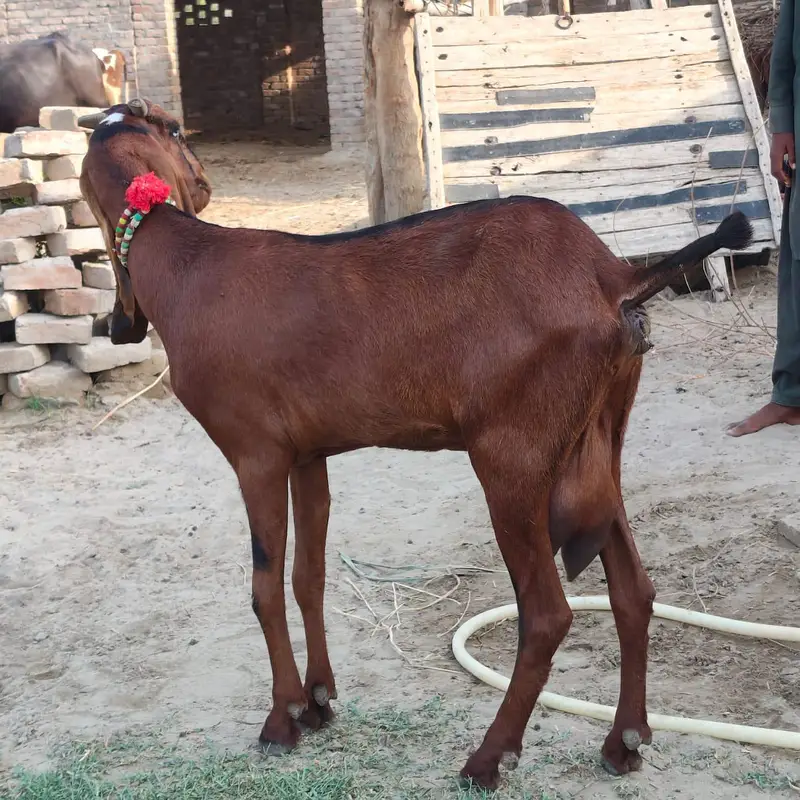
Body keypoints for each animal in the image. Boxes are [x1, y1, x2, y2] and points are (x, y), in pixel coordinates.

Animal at [77, 99, 753, 791]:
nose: (117, 325)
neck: (187, 264)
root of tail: (614, 273)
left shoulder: (255, 455)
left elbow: (264, 588)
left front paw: (282, 719)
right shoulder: (308, 454)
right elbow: (308, 576)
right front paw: (319, 701)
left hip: (512, 460)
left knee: (546, 615)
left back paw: (489, 758)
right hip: (593, 445)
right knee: (633, 591)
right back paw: (625, 741)